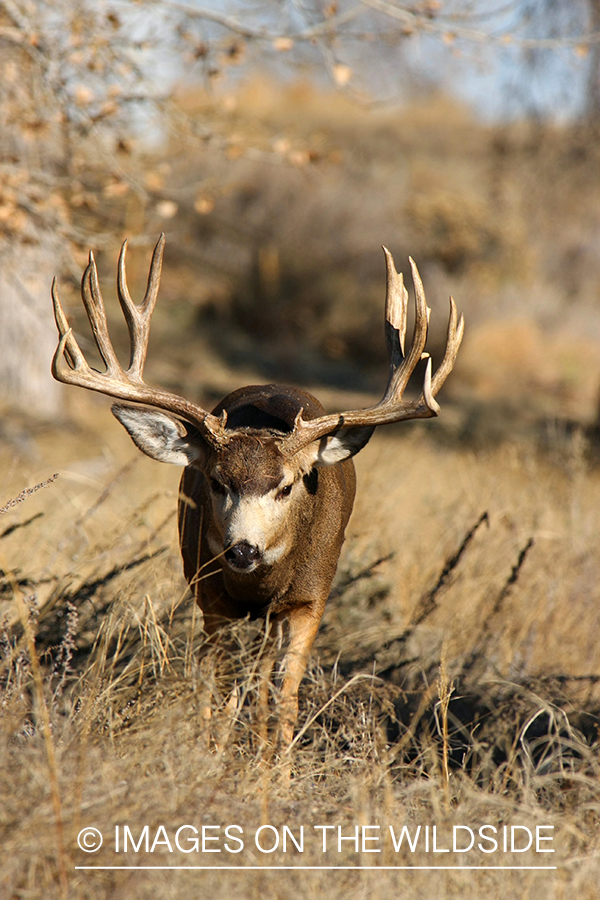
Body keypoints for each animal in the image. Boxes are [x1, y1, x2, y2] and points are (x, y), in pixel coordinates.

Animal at [50, 234, 464, 744]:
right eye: (215, 481)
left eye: (286, 486)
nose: (243, 550)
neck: (260, 586)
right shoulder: (213, 595)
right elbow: (222, 685)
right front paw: (216, 748)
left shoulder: (310, 597)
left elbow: (286, 697)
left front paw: (276, 760)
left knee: (265, 679)